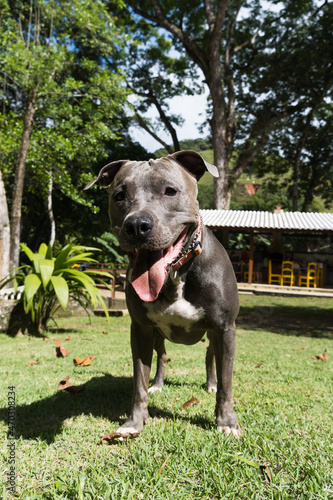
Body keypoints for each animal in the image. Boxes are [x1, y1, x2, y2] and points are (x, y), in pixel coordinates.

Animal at [85, 149, 241, 438]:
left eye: (170, 191)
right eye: (119, 195)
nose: (137, 224)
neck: (177, 273)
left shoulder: (225, 328)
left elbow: (227, 381)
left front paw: (226, 421)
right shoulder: (141, 329)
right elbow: (139, 381)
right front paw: (134, 422)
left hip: (213, 336)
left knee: (210, 359)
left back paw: (210, 384)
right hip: (157, 334)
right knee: (163, 355)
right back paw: (158, 383)